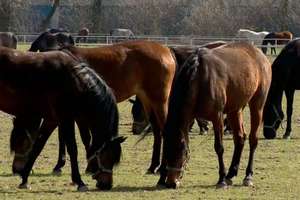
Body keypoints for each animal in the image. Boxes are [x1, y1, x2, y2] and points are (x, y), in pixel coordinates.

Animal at [0, 46, 125, 191]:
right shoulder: (66, 119)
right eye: (106, 156)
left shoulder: (52, 120)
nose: (107, 185)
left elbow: (38, 146)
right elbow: (72, 148)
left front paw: (24, 179)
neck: (74, 81)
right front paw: (79, 182)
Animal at [15, 39, 176, 174]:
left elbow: (83, 137)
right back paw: (153, 166)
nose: (17, 168)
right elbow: (66, 137)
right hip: (147, 100)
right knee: (157, 131)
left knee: (165, 130)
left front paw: (89, 166)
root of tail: (166, 50)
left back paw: (163, 168)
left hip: (159, 101)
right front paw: (60, 165)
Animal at [159, 42, 272, 189]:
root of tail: (259, 54)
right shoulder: (191, 117)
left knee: (253, 139)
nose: (172, 182)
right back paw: (231, 174)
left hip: (257, 105)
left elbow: (219, 147)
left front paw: (221, 179)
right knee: (240, 138)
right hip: (235, 110)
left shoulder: (217, 117)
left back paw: (248, 176)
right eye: (166, 150)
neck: (199, 77)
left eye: (182, 149)